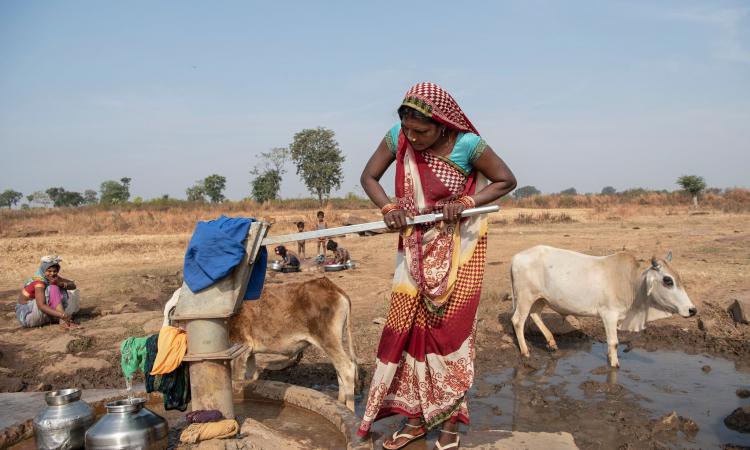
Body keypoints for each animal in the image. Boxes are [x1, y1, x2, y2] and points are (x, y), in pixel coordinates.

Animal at [166, 276, 360, 410]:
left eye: (174, 310)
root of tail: (332, 287)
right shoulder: (250, 352)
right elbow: (252, 378)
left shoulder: (240, 348)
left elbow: (237, 380)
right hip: (332, 342)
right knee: (339, 369)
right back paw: (339, 403)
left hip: (328, 340)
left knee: (348, 369)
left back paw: (350, 410)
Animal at [512, 244, 700, 368]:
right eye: (668, 280)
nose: (692, 310)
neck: (632, 283)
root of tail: (516, 257)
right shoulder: (609, 314)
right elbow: (613, 342)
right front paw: (615, 364)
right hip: (525, 297)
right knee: (517, 321)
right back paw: (525, 352)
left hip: (540, 298)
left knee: (535, 315)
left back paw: (551, 343)